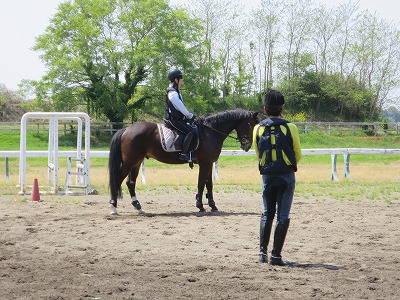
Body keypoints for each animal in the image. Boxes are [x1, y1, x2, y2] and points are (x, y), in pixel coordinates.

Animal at [108, 109, 260, 214]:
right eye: (250, 125)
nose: (247, 146)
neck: (210, 133)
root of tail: (126, 129)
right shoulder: (205, 163)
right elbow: (201, 184)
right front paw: (200, 206)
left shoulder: (209, 164)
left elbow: (209, 184)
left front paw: (213, 205)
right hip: (130, 162)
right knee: (118, 180)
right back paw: (113, 207)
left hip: (136, 162)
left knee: (130, 182)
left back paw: (139, 207)